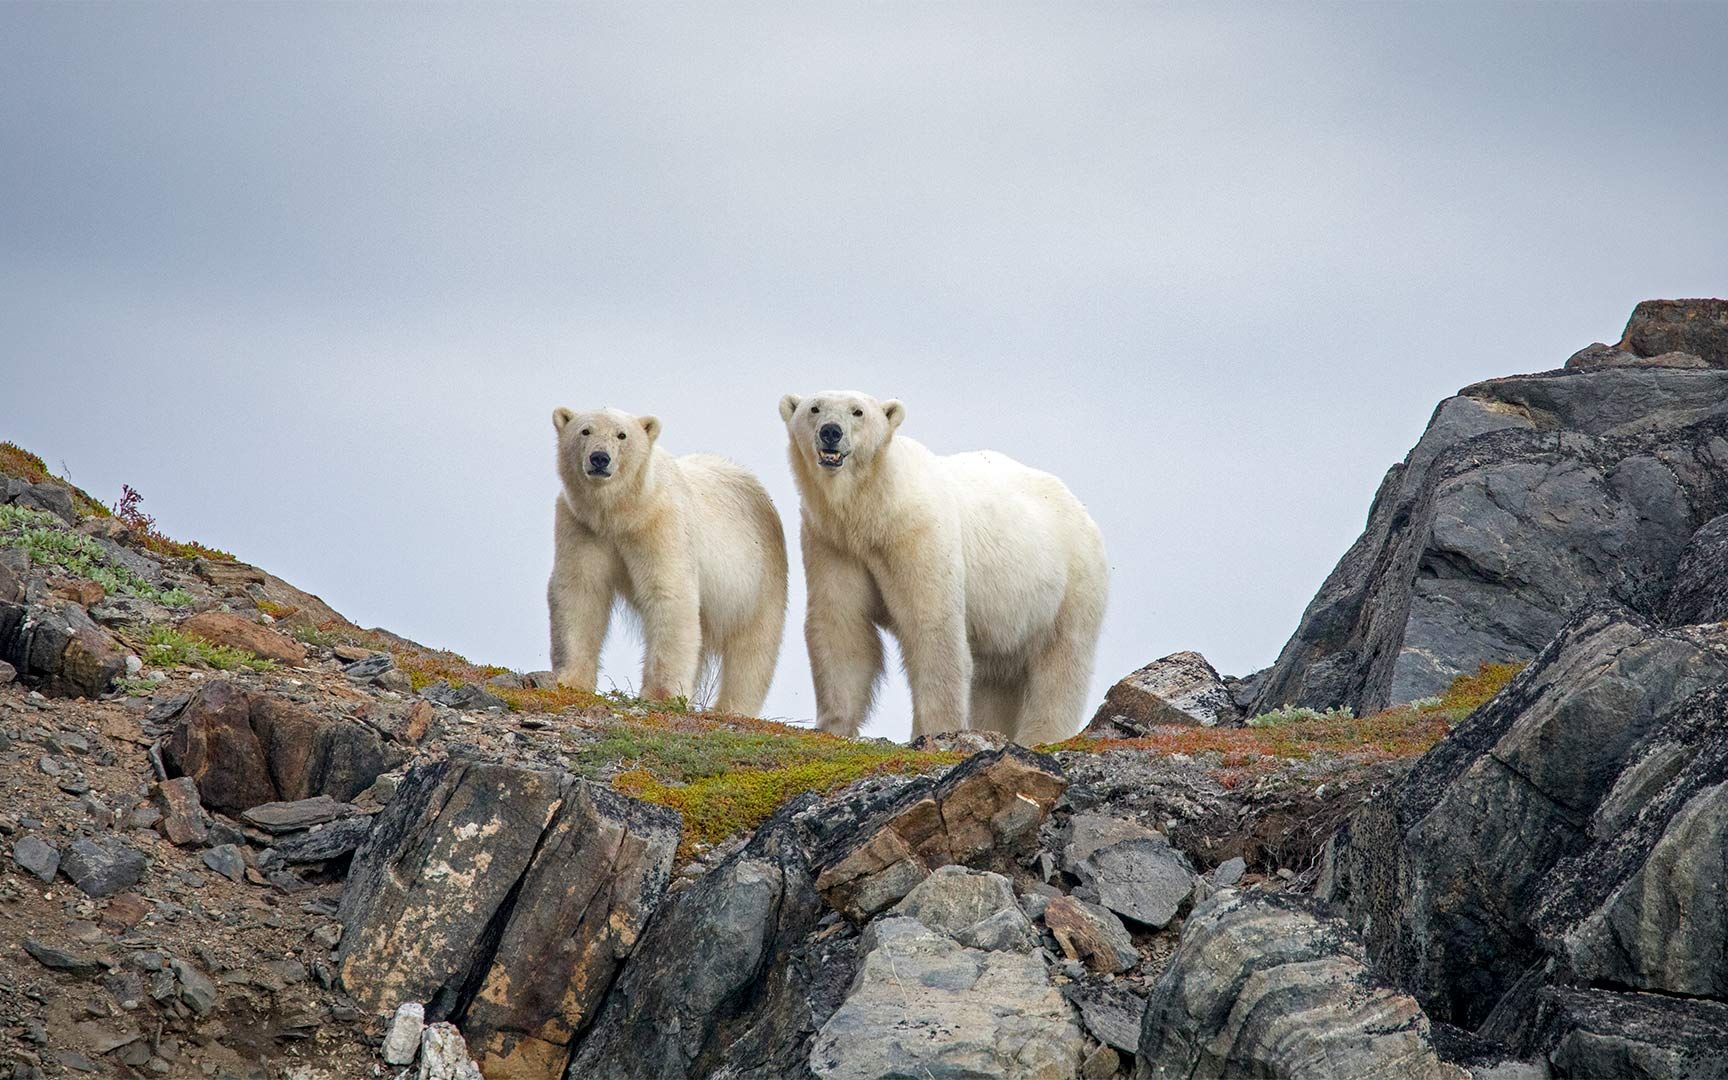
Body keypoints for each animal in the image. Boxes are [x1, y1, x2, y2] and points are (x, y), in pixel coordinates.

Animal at [549, 406, 787, 715]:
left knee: (753, 647)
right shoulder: (582, 526)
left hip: (758, 577)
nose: (600, 458)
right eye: (585, 431)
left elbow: (669, 595)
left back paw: (732, 708)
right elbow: (580, 591)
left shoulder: (661, 524)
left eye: (622, 435)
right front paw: (570, 680)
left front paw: (660, 695)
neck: (621, 513)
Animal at [781, 392, 1105, 746]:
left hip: (1070, 585)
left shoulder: (918, 534)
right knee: (997, 680)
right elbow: (842, 623)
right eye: (814, 408)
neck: (875, 509)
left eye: (858, 411)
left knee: (1061, 665)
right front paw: (833, 725)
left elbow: (933, 627)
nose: (831, 432)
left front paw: (936, 730)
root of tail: (1080, 509)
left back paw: (1041, 736)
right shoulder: (834, 543)